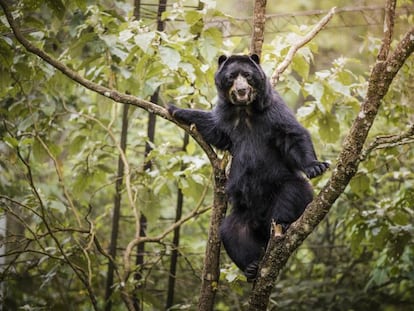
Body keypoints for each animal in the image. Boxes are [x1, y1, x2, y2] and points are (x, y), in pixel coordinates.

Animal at [167, 54, 326, 282]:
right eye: (232, 76)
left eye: (248, 75)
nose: (241, 90)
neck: (244, 110)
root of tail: (260, 220)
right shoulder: (226, 118)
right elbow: (214, 128)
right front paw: (175, 108)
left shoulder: (273, 111)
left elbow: (293, 135)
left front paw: (316, 166)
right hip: (243, 213)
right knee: (231, 232)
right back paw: (251, 266)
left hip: (282, 186)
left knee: (294, 192)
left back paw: (285, 224)